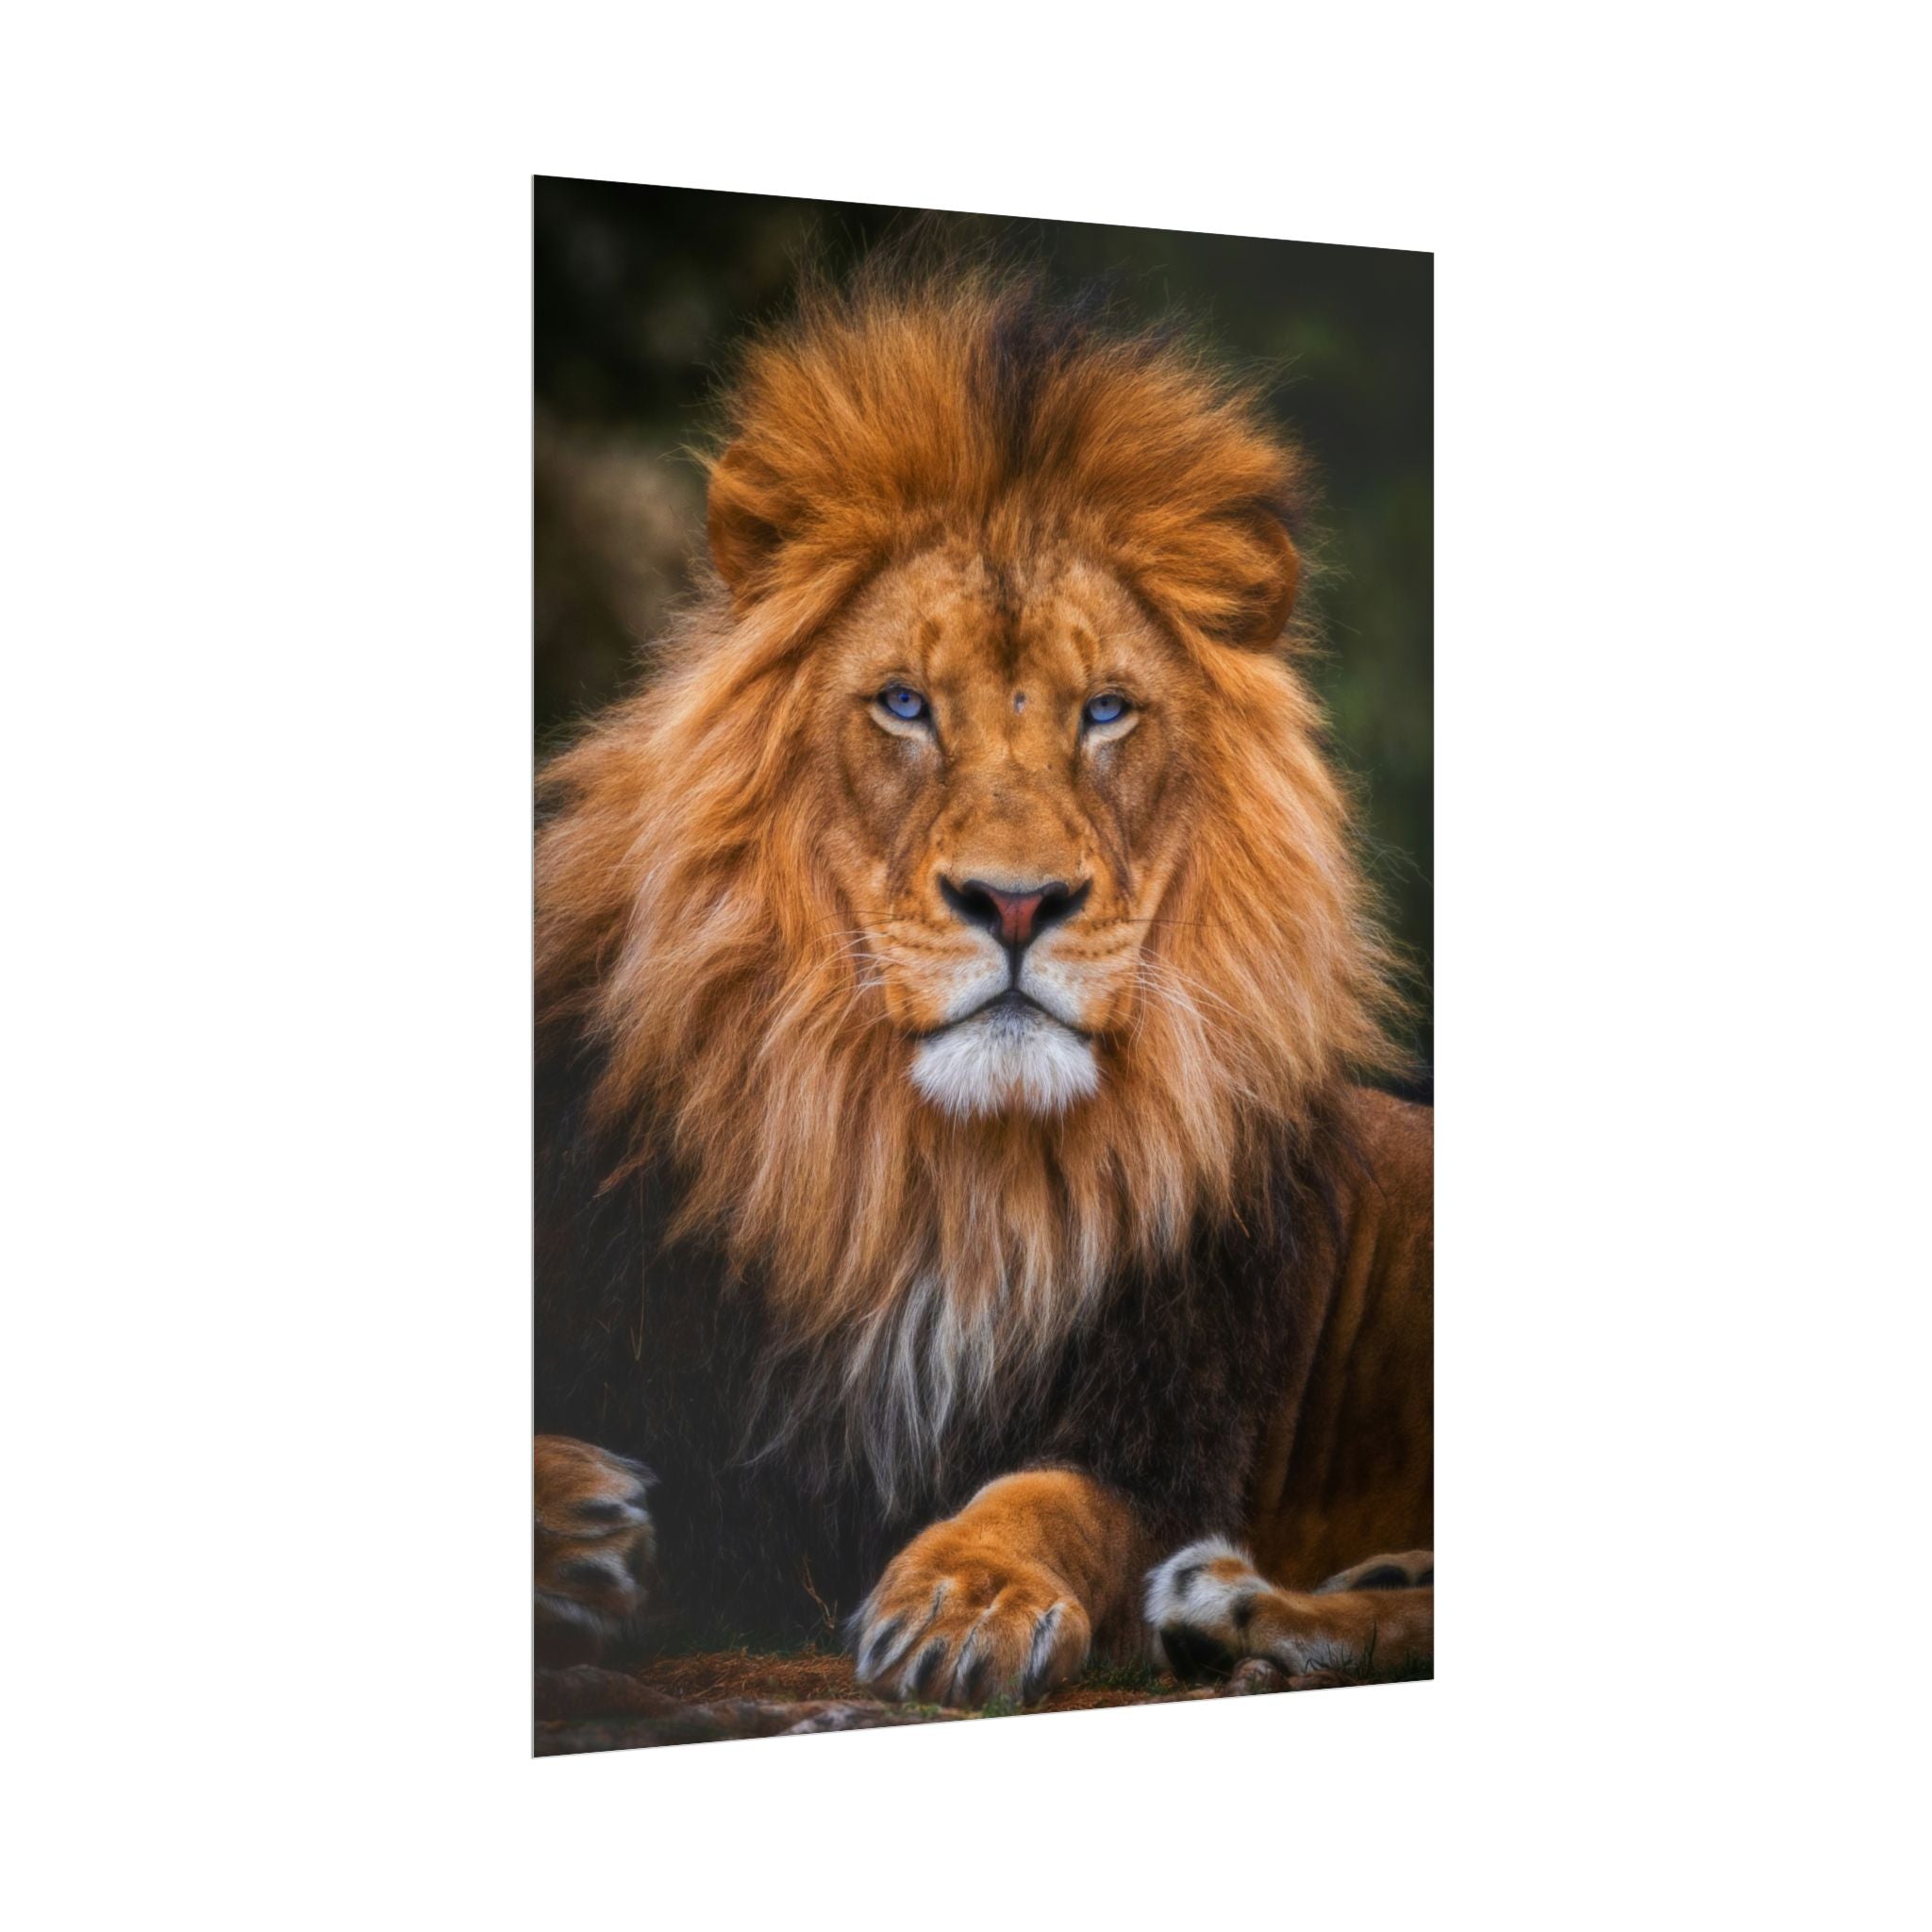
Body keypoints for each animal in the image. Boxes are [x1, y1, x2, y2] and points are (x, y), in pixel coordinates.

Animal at [534, 262, 1432, 1707]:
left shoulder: (1164, 1430)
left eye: (1106, 711)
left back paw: (1240, 1609)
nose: (1016, 903)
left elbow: (1049, 1497)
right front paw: (575, 1524)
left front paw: (968, 1594)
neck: (941, 1180)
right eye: (904, 704)